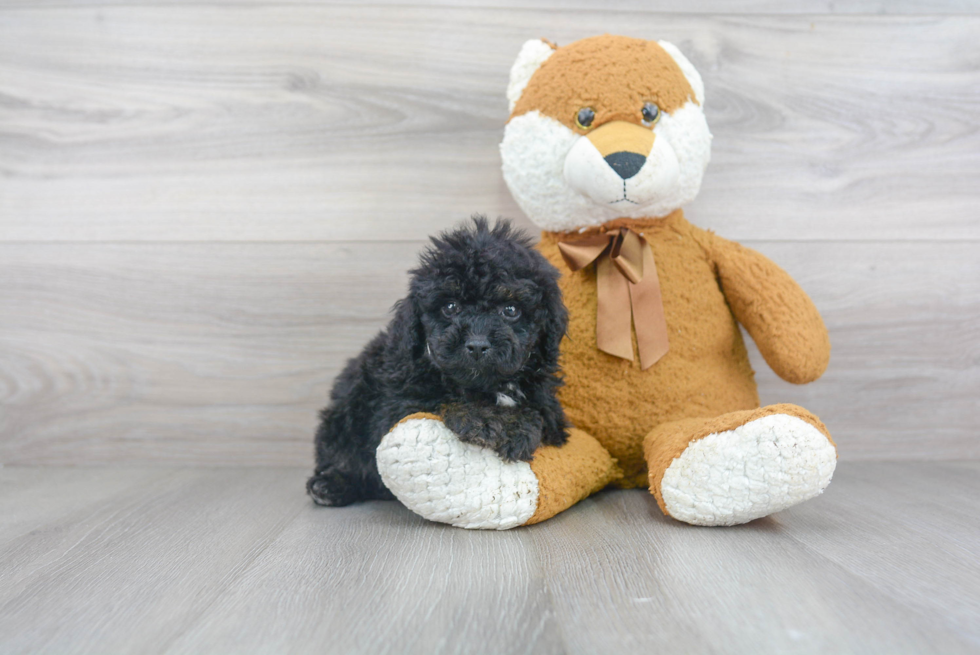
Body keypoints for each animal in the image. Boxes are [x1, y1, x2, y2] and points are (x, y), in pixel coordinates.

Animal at [304, 217, 568, 508]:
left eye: (510, 310)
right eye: (450, 307)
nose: (477, 345)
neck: (486, 386)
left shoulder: (550, 407)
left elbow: (541, 414)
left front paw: (513, 425)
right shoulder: (397, 400)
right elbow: (443, 401)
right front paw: (497, 423)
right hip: (348, 406)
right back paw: (331, 484)